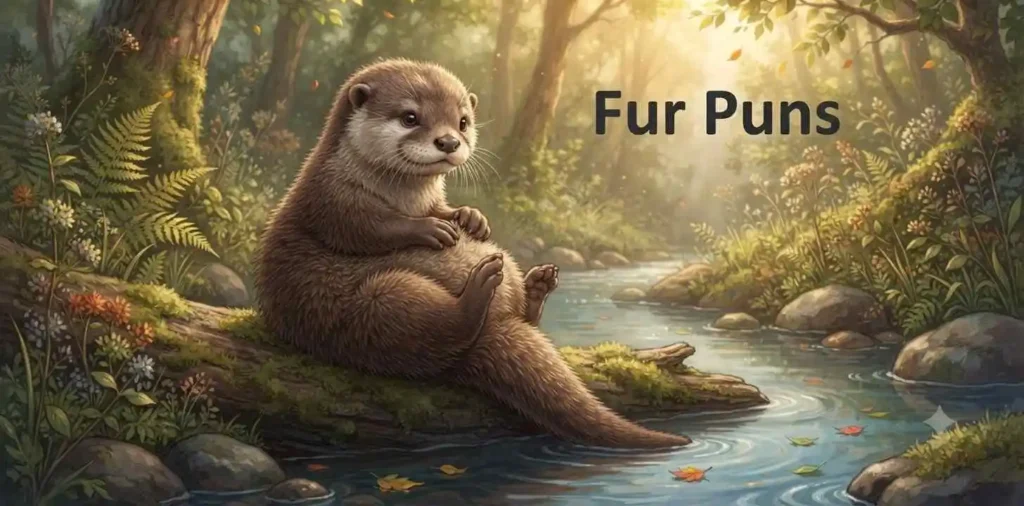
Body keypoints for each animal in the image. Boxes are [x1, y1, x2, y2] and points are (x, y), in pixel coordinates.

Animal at [256, 58, 690, 449]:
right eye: (410, 117)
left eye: (463, 121)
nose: (449, 141)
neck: (403, 196)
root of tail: (494, 323)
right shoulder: (328, 193)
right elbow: (361, 227)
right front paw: (428, 229)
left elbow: (440, 211)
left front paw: (469, 217)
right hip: (369, 307)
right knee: (427, 331)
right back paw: (480, 289)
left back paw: (536, 286)